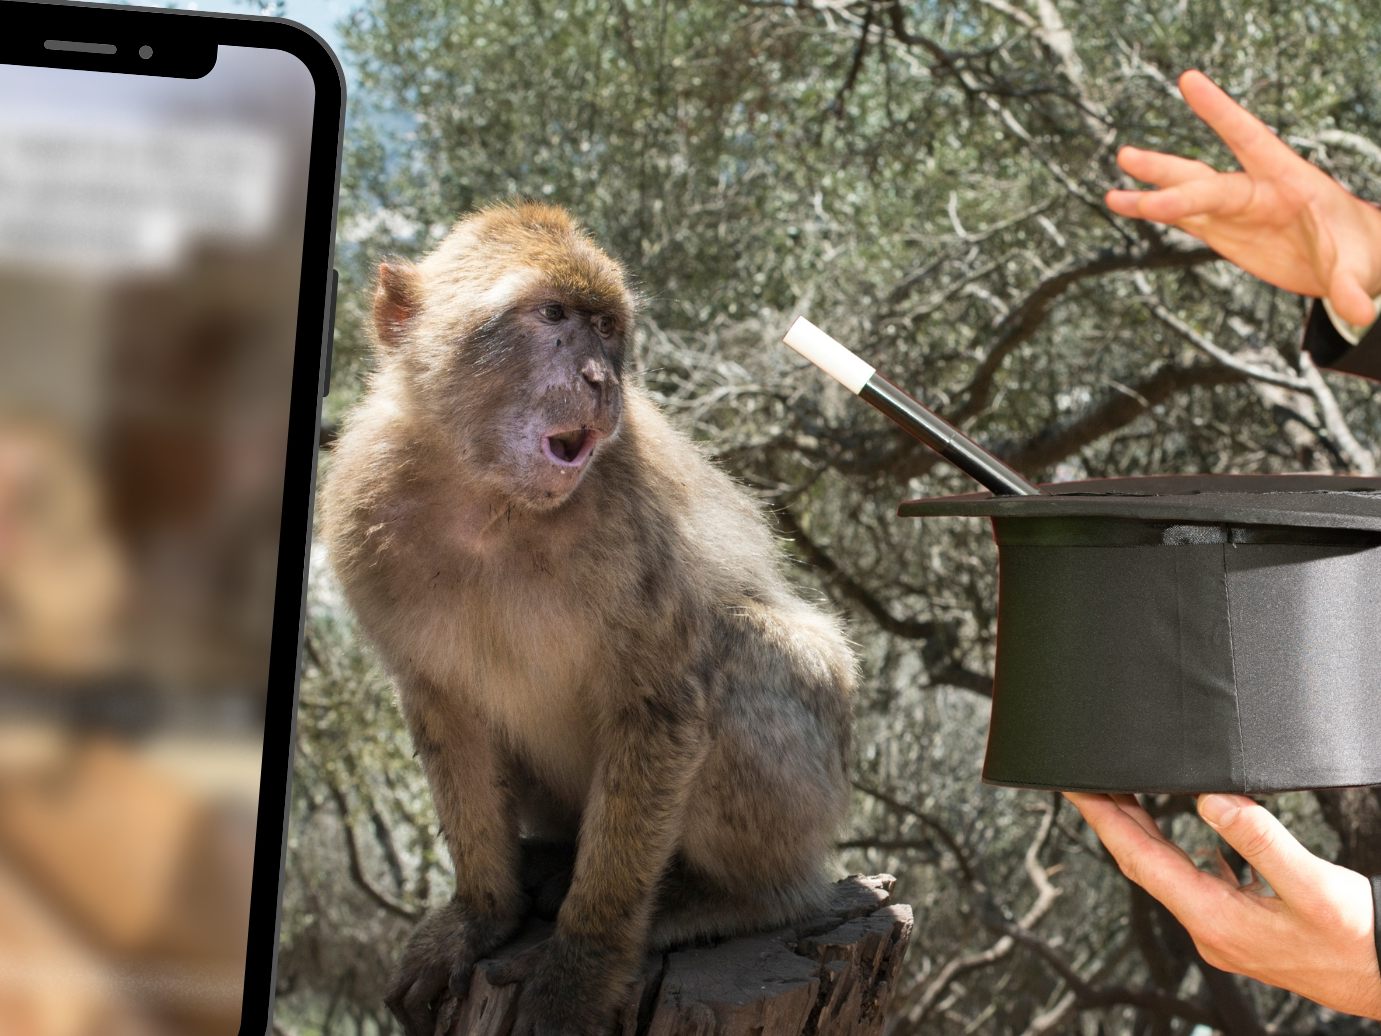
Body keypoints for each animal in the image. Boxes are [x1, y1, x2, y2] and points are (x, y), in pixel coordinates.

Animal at [319, 202, 855, 1036]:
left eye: (606, 328)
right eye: (552, 316)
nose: (600, 379)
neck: (491, 501)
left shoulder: (634, 525)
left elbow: (661, 703)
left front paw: (580, 966)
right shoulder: (360, 509)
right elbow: (446, 712)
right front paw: (480, 915)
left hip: (815, 793)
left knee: (742, 650)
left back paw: (733, 897)